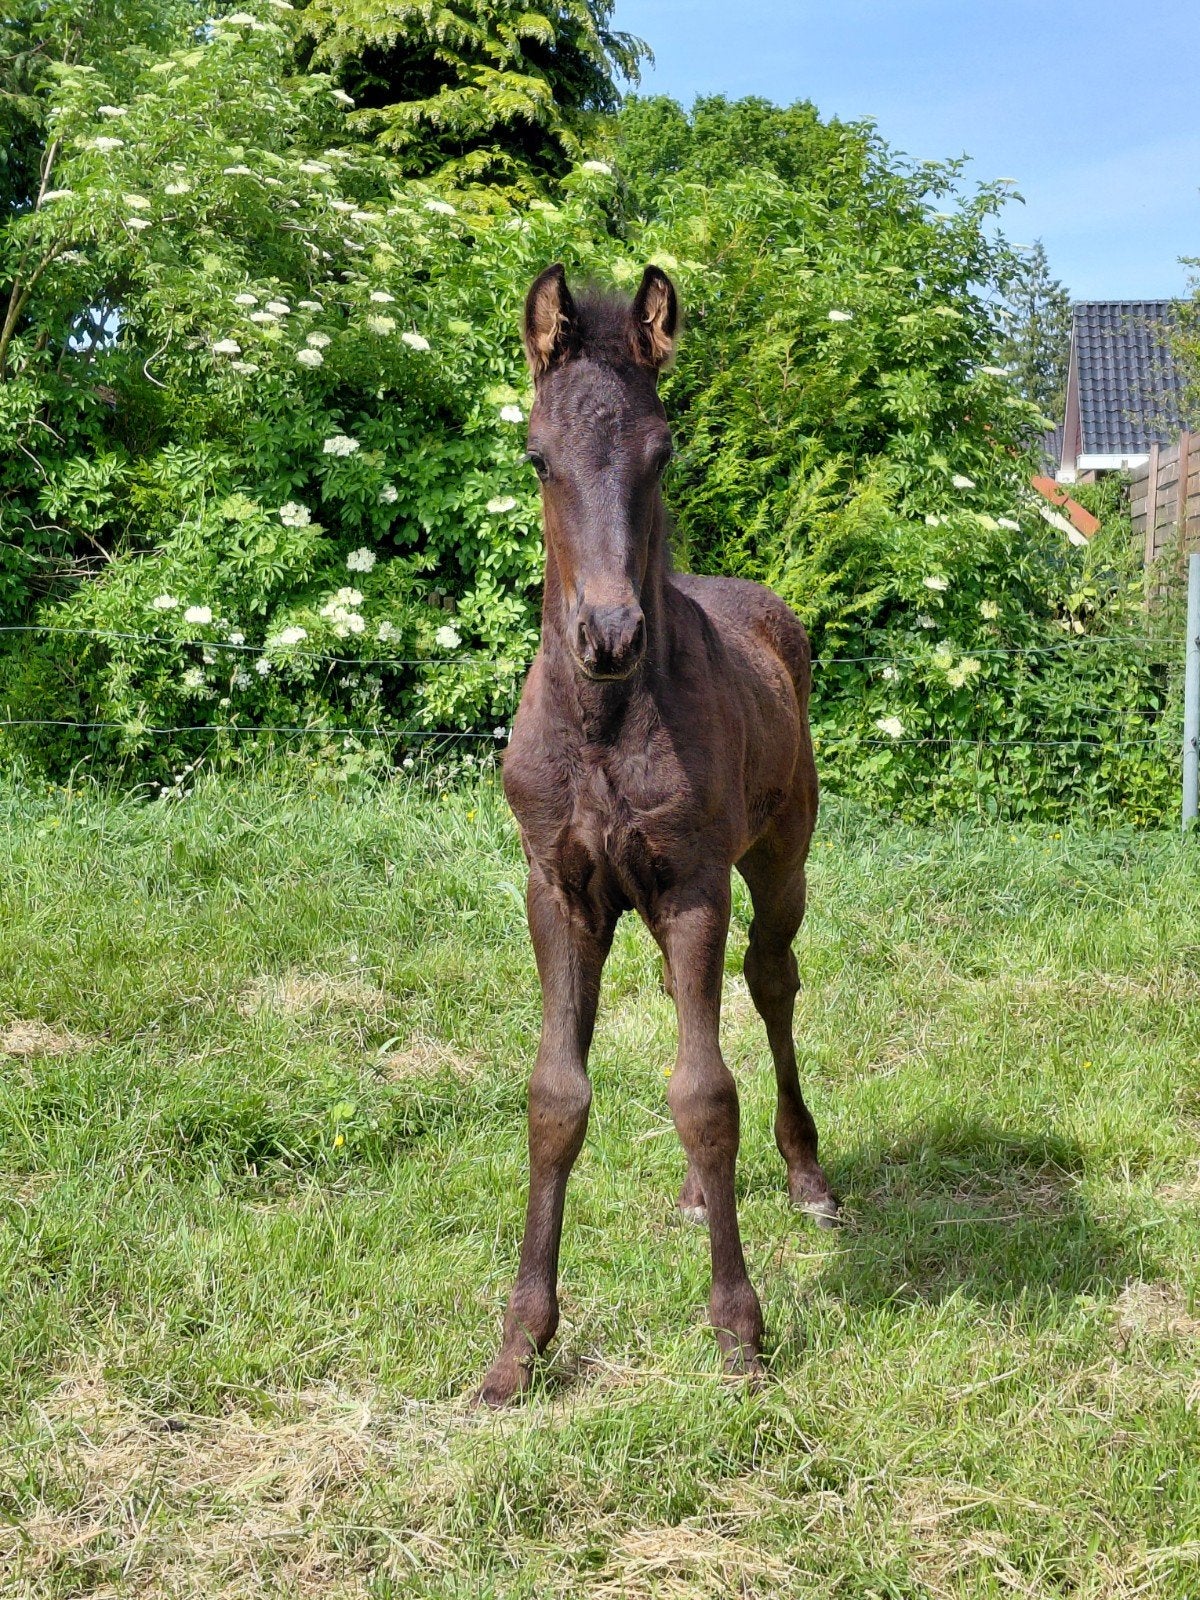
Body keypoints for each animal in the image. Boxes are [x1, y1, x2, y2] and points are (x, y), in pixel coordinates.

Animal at [478, 263, 838, 1407]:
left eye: (663, 451)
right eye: (537, 456)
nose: (608, 635)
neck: (602, 721)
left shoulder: (692, 885)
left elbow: (709, 1094)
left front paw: (737, 1329)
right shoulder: (558, 890)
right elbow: (557, 1097)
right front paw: (519, 1344)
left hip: (779, 862)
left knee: (769, 983)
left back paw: (809, 1173)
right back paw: (691, 1194)